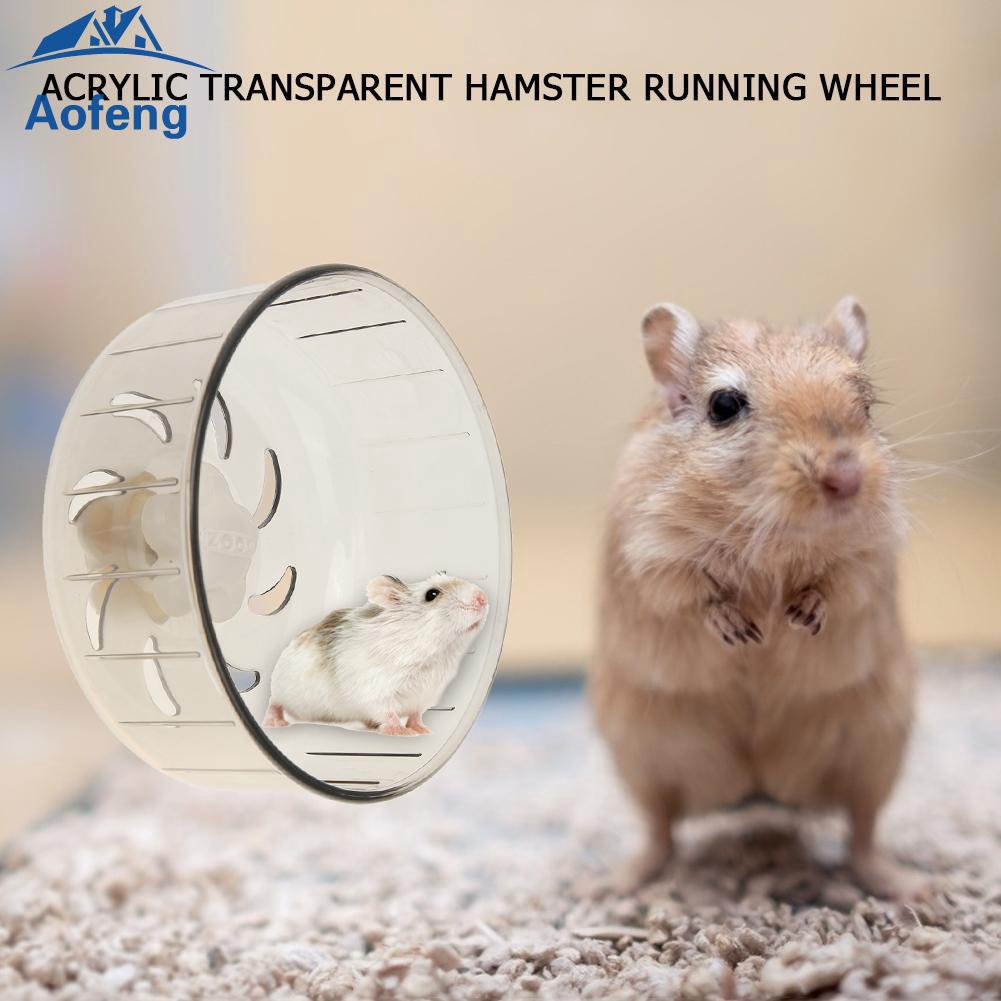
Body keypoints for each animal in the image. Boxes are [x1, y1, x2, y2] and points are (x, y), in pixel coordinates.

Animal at [264, 573, 489, 735]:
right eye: (432, 594)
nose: (483, 598)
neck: (432, 654)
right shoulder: (376, 690)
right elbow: (387, 713)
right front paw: (402, 732)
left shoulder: (426, 695)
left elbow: (416, 715)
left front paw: (423, 730)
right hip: (281, 689)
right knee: (274, 704)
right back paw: (274, 723)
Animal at [590, 297, 919, 898]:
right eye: (724, 405)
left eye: (865, 405)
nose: (846, 478)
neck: (774, 529)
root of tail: (758, 788)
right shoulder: (653, 553)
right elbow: (694, 593)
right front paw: (746, 633)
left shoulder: (871, 552)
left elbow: (838, 584)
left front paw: (796, 619)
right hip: (641, 757)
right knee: (659, 831)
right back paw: (614, 883)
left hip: (877, 749)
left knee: (862, 833)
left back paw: (908, 884)